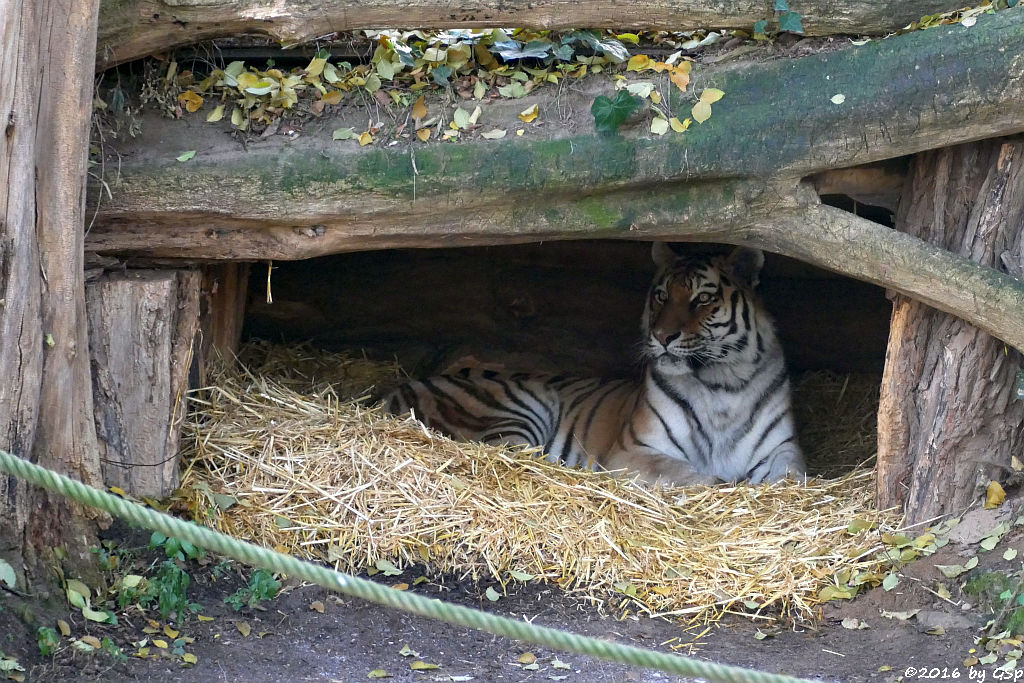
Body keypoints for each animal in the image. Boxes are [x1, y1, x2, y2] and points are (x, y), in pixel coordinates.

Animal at [380, 244, 802, 485]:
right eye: (661, 296)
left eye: (703, 299)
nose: (662, 335)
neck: (720, 383)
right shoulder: (635, 450)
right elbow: (688, 475)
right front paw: (721, 485)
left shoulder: (783, 450)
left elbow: (790, 478)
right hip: (522, 407)